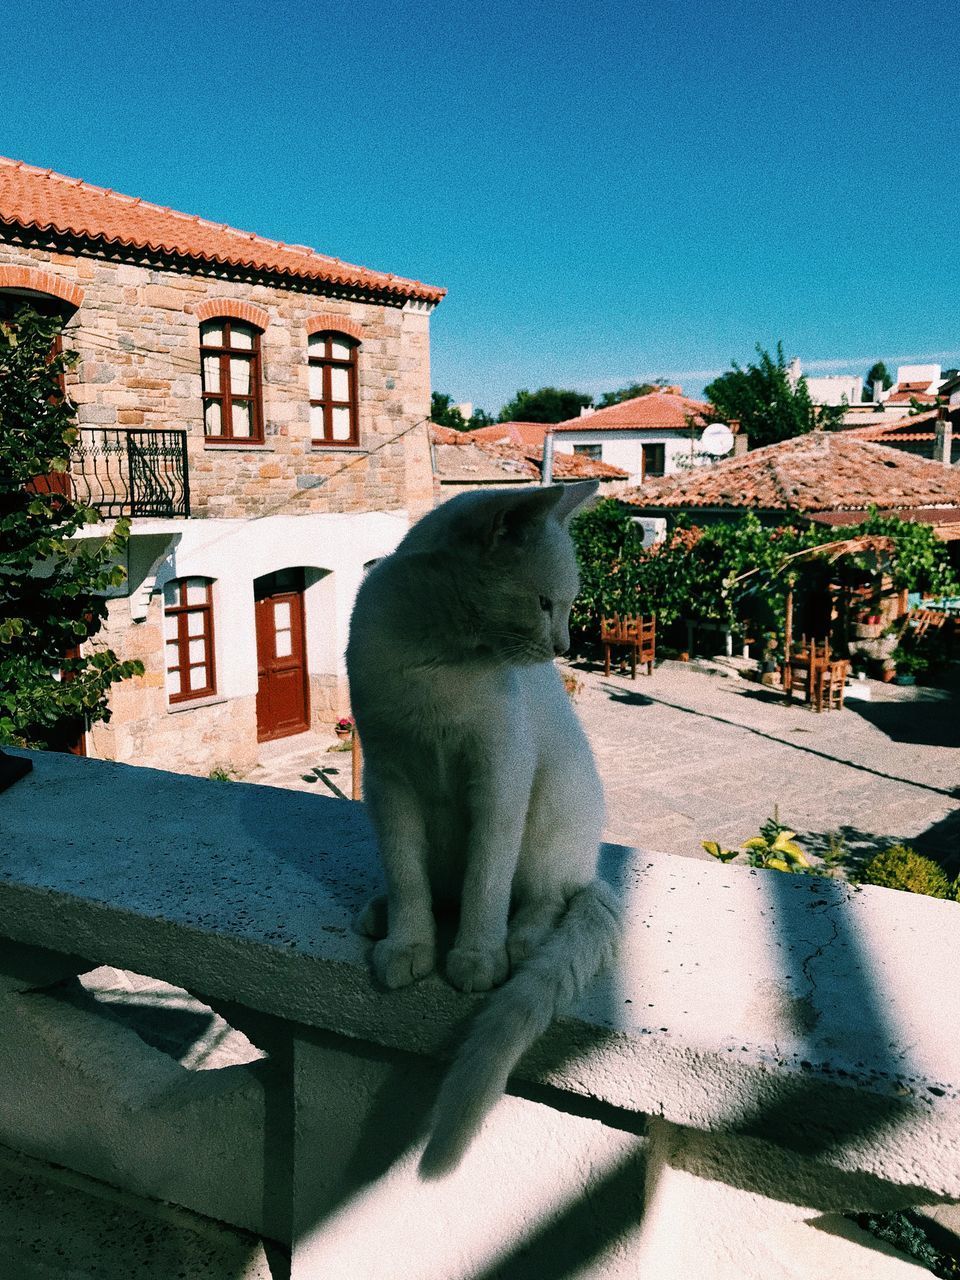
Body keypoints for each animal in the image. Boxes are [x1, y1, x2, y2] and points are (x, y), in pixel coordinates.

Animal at [350, 481, 619, 1177]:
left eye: (568, 606)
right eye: (545, 603)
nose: (563, 647)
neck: (438, 659)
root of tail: (591, 866)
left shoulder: (501, 772)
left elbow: (486, 883)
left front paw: (475, 955)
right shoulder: (387, 777)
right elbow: (408, 876)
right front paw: (410, 942)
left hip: (552, 805)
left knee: (545, 895)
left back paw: (519, 939)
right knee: (432, 885)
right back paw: (382, 912)